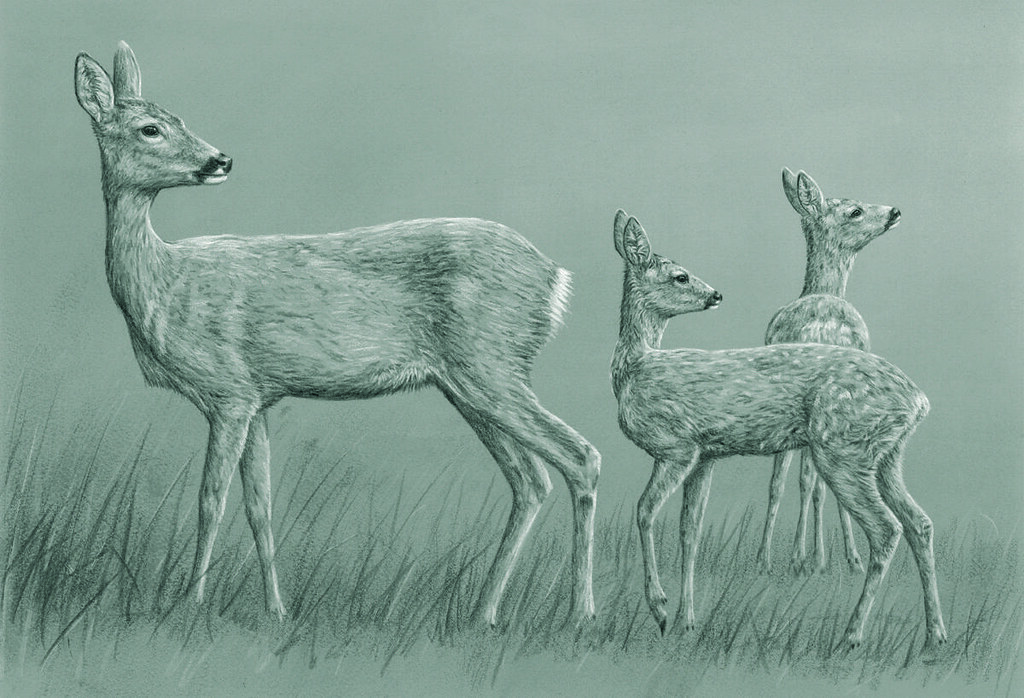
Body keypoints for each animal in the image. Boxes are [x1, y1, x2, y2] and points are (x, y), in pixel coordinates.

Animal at [74, 41, 600, 627]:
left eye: (178, 120)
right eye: (151, 128)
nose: (220, 160)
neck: (164, 286)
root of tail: (555, 277)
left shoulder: (228, 392)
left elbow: (211, 500)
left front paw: (189, 604)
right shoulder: (256, 398)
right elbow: (260, 506)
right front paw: (276, 610)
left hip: (492, 363)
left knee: (580, 456)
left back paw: (581, 613)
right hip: (468, 382)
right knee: (531, 480)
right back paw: (482, 614)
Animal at [610, 210, 946, 650]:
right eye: (681, 277)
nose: (715, 295)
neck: (635, 368)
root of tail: (919, 400)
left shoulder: (675, 447)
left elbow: (644, 511)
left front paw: (661, 609)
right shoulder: (704, 455)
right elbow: (689, 532)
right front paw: (687, 621)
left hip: (843, 448)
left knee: (887, 528)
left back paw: (852, 635)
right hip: (886, 455)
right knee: (919, 523)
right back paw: (935, 634)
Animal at [757, 169, 902, 576]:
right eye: (855, 211)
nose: (894, 211)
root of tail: (821, 329)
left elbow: (797, 480)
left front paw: (814, 558)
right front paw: (818, 558)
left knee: (797, 478)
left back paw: (789, 558)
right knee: (811, 478)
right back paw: (810, 558)